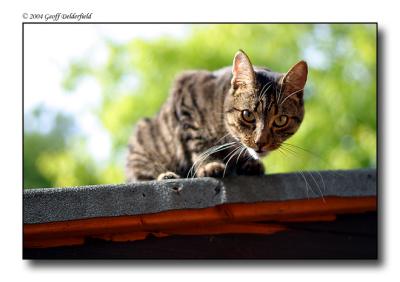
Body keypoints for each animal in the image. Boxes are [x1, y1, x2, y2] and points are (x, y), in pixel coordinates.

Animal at [126, 50, 308, 181]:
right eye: (247, 115)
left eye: (281, 120)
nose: (260, 142)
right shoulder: (187, 104)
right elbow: (199, 144)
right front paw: (210, 164)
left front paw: (250, 163)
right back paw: (166, 175)